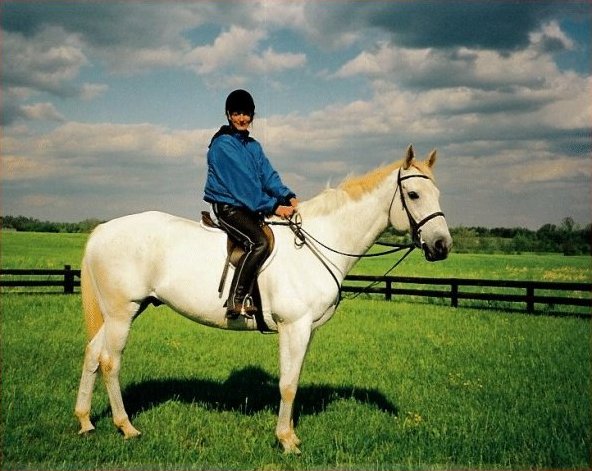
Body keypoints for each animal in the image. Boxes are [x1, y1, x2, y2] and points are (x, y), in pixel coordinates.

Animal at [75, 146, 454, 456]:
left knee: (93, 355)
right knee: (110, 362)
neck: (318, 244)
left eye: (438, 193)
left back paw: (85, 422)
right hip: (122, 313)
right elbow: (287, 385)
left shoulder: (306, 330)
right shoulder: (294, 327)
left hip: (122, 312)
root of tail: (103, 230)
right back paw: (126, 427)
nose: (442, 246)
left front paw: (290, 435)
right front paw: (286, 441)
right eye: (414, 194)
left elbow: (293, 379)